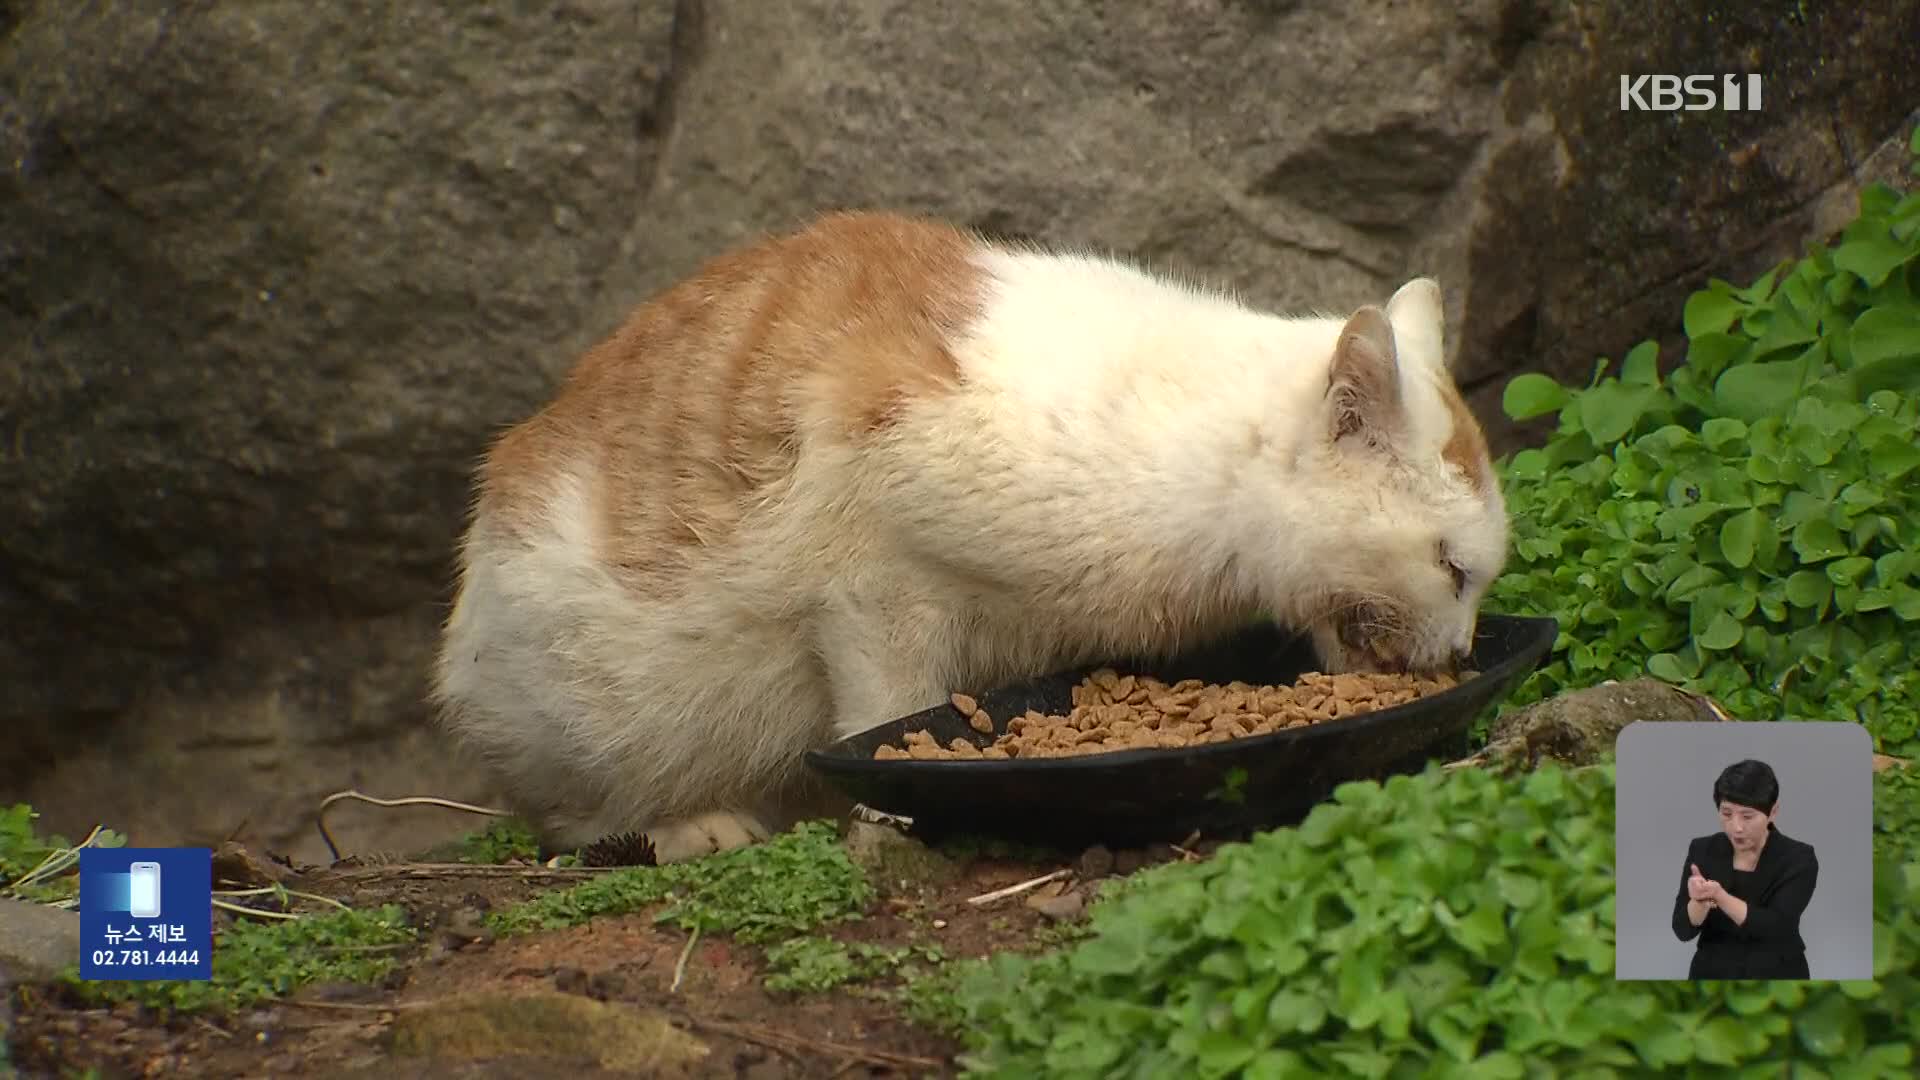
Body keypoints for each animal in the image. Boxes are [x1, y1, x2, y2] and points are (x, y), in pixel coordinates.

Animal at [428, 214, 1505, 860]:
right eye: (1451, 568)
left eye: (1479, 582)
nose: (1461, 654)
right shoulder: (875, 596)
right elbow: (883, 720)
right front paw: (888, 826)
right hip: (585, 704)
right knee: (577, 816)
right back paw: (698, 825)